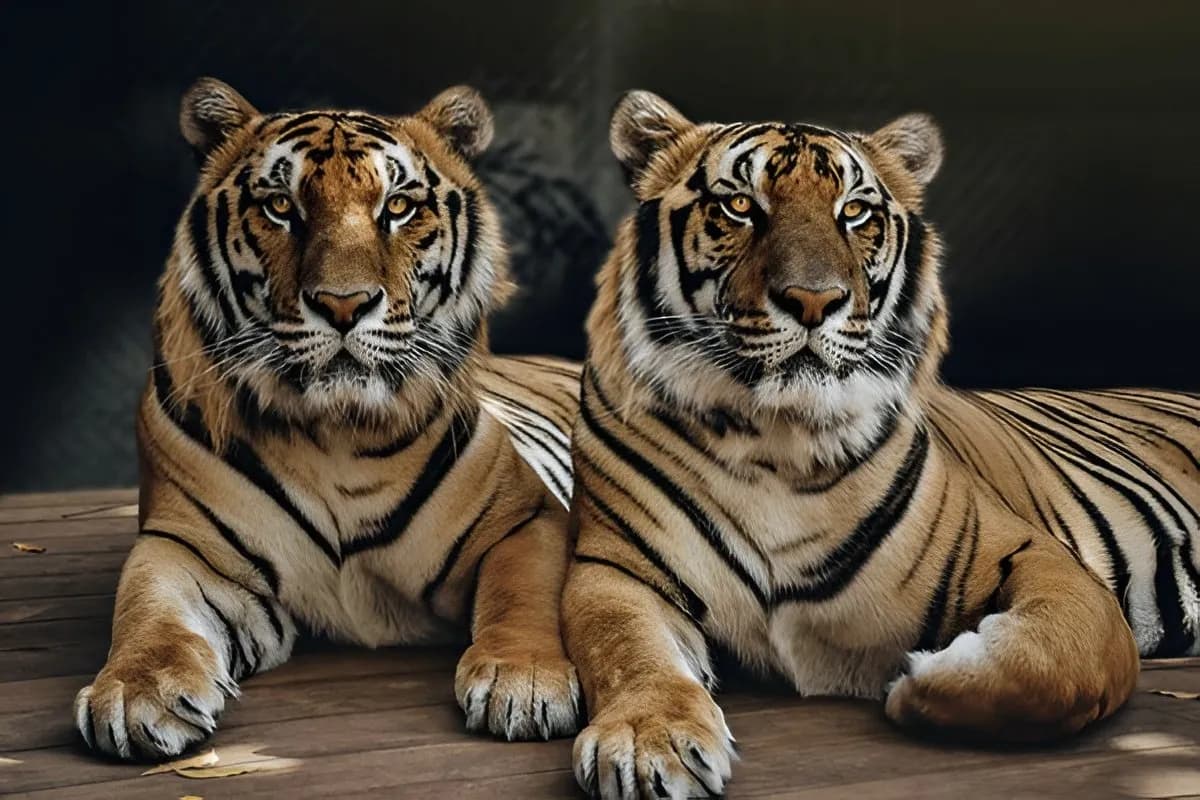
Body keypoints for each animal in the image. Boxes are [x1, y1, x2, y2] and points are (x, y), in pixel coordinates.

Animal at [73, 78, 584, 760]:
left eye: (398, 207)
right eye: (280, 207)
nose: (344, 305)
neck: (337, 433)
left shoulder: (527, 520)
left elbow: (524, 595)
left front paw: (526, 682)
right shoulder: (185, 546)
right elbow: (148, 609)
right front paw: (137, 693)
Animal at [561, 90, 1200, 799]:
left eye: (854, 211)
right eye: (741, 206)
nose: (814, 301)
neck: (777, 441)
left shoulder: (1036, 555)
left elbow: (1055, 659)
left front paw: (920, 678)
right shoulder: (618, 571)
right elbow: (625, 649)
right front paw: (648, 742)